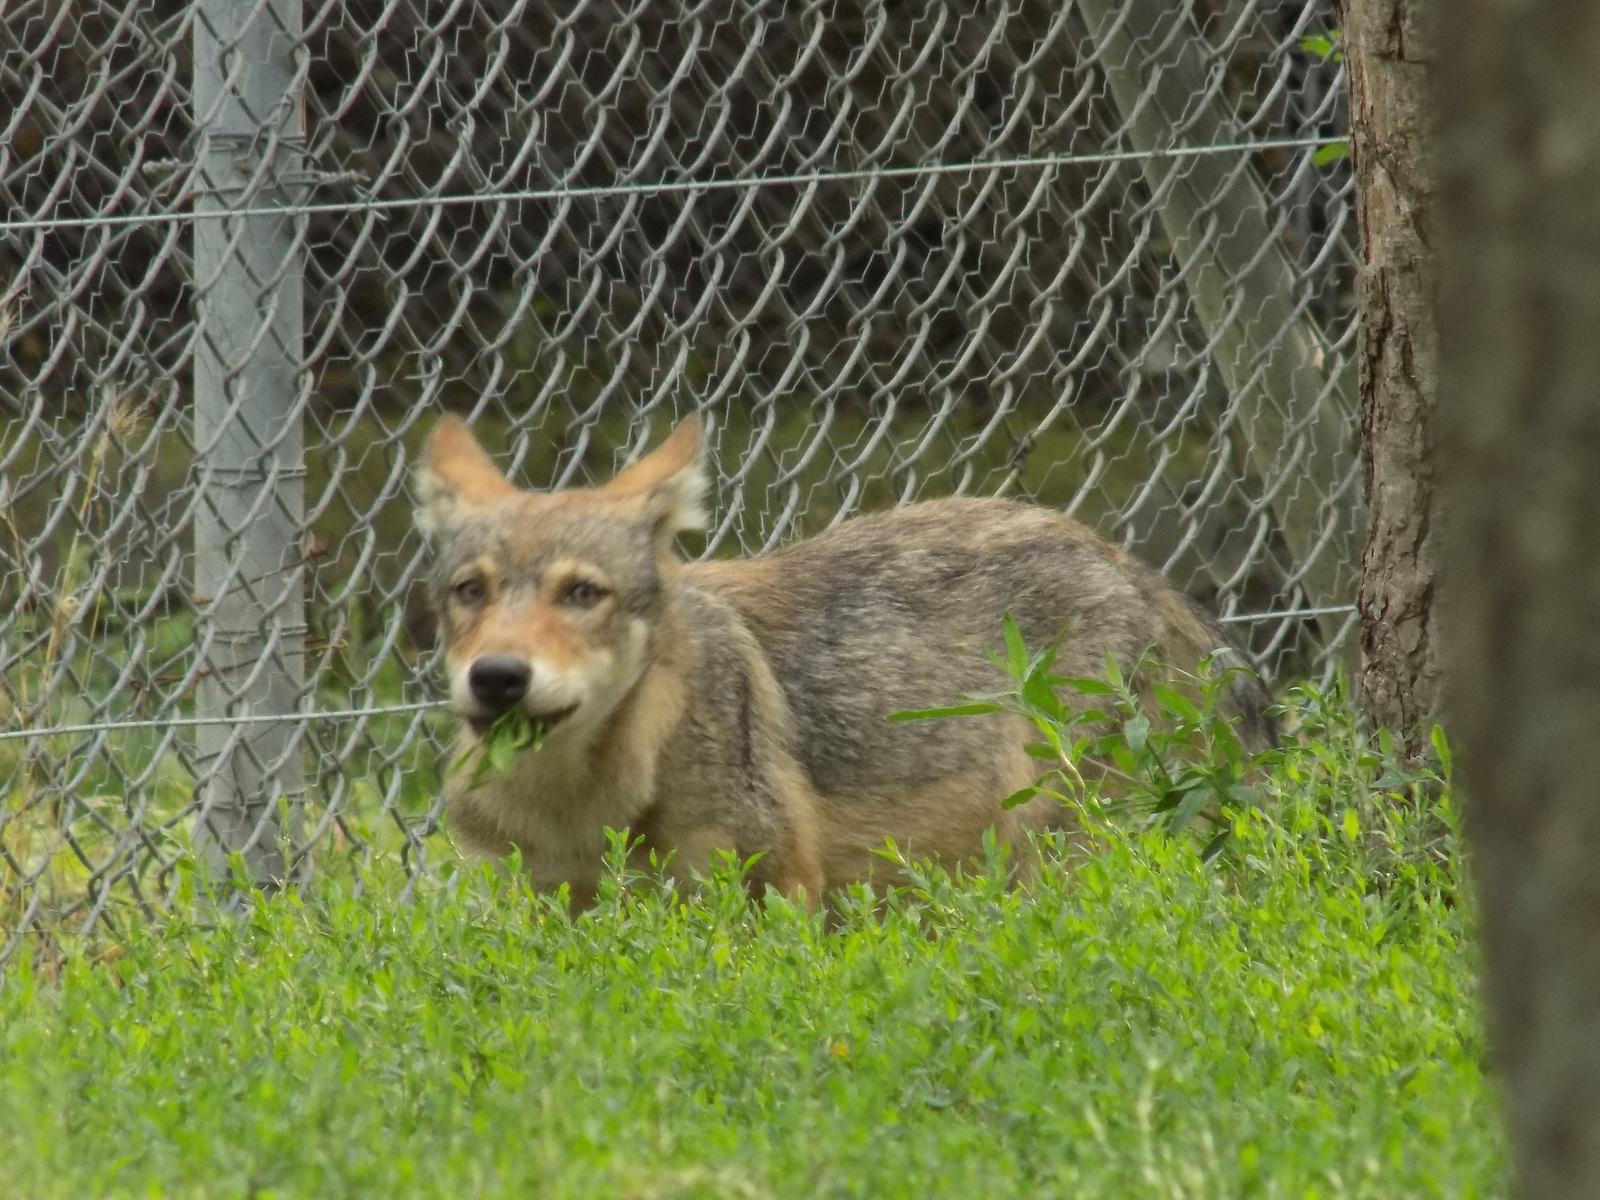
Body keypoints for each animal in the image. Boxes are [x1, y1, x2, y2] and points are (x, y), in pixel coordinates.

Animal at [416, 419, 1273, 908]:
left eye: (581, 593)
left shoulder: (776, 889)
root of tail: (1129, 564)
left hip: (1057, 846)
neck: (577, 808)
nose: (498, 676)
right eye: (470, 591)